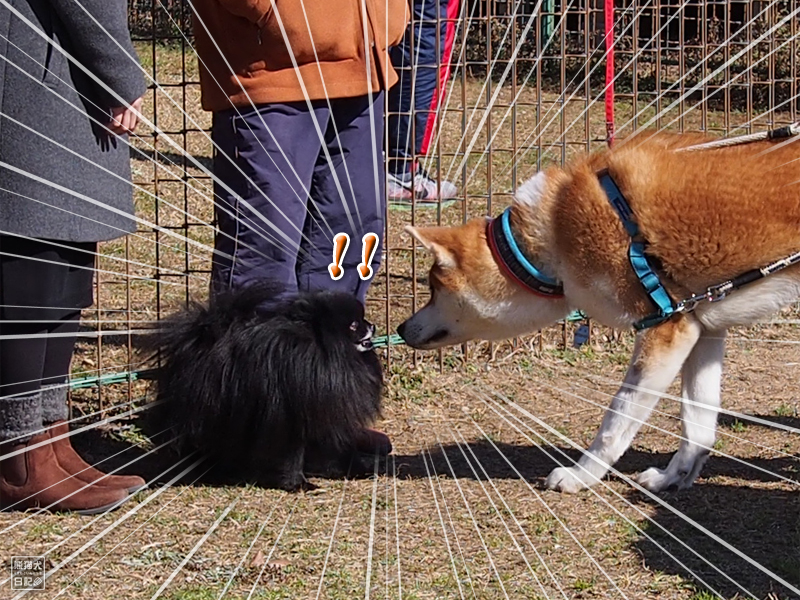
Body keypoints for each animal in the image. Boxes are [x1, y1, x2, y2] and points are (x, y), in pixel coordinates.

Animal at [398, 131, 800, 492]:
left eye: (433, 288)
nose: (401, 329)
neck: (557, 227)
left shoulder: (665, 332)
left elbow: (615, 421)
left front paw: (581, 476)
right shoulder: (700, 327)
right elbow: (697, 428)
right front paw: (671, 479)